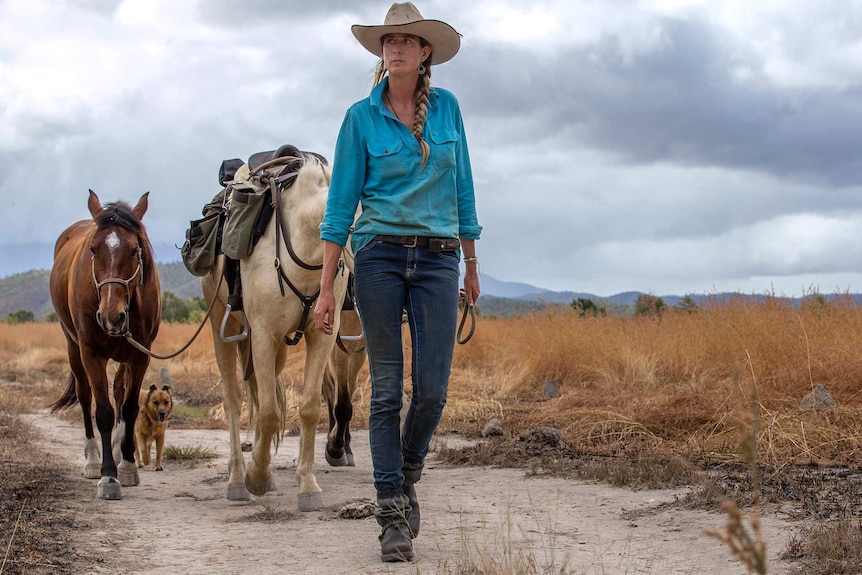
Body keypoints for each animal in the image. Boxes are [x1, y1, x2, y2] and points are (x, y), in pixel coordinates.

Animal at [49, 190, 162, 500]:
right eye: (93, 249)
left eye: (135, 250)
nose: (112, 316)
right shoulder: (91, 353)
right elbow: (103, 412)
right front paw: (108, 476)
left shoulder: (139, 355)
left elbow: (130, 408)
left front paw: (127, 466)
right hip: (73, 348)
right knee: (84, 395)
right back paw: (91, 461)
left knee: (120, 390)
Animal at [203, 151, 352, 510]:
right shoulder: (262, 334)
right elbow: (269, 414)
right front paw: (255, 477)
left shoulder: (322, 336)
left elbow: (309, 408)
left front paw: (308, 486)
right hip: (222, 329)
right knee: (234, 400)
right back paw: (237, 479)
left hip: (279, 348)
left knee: (259, 391)